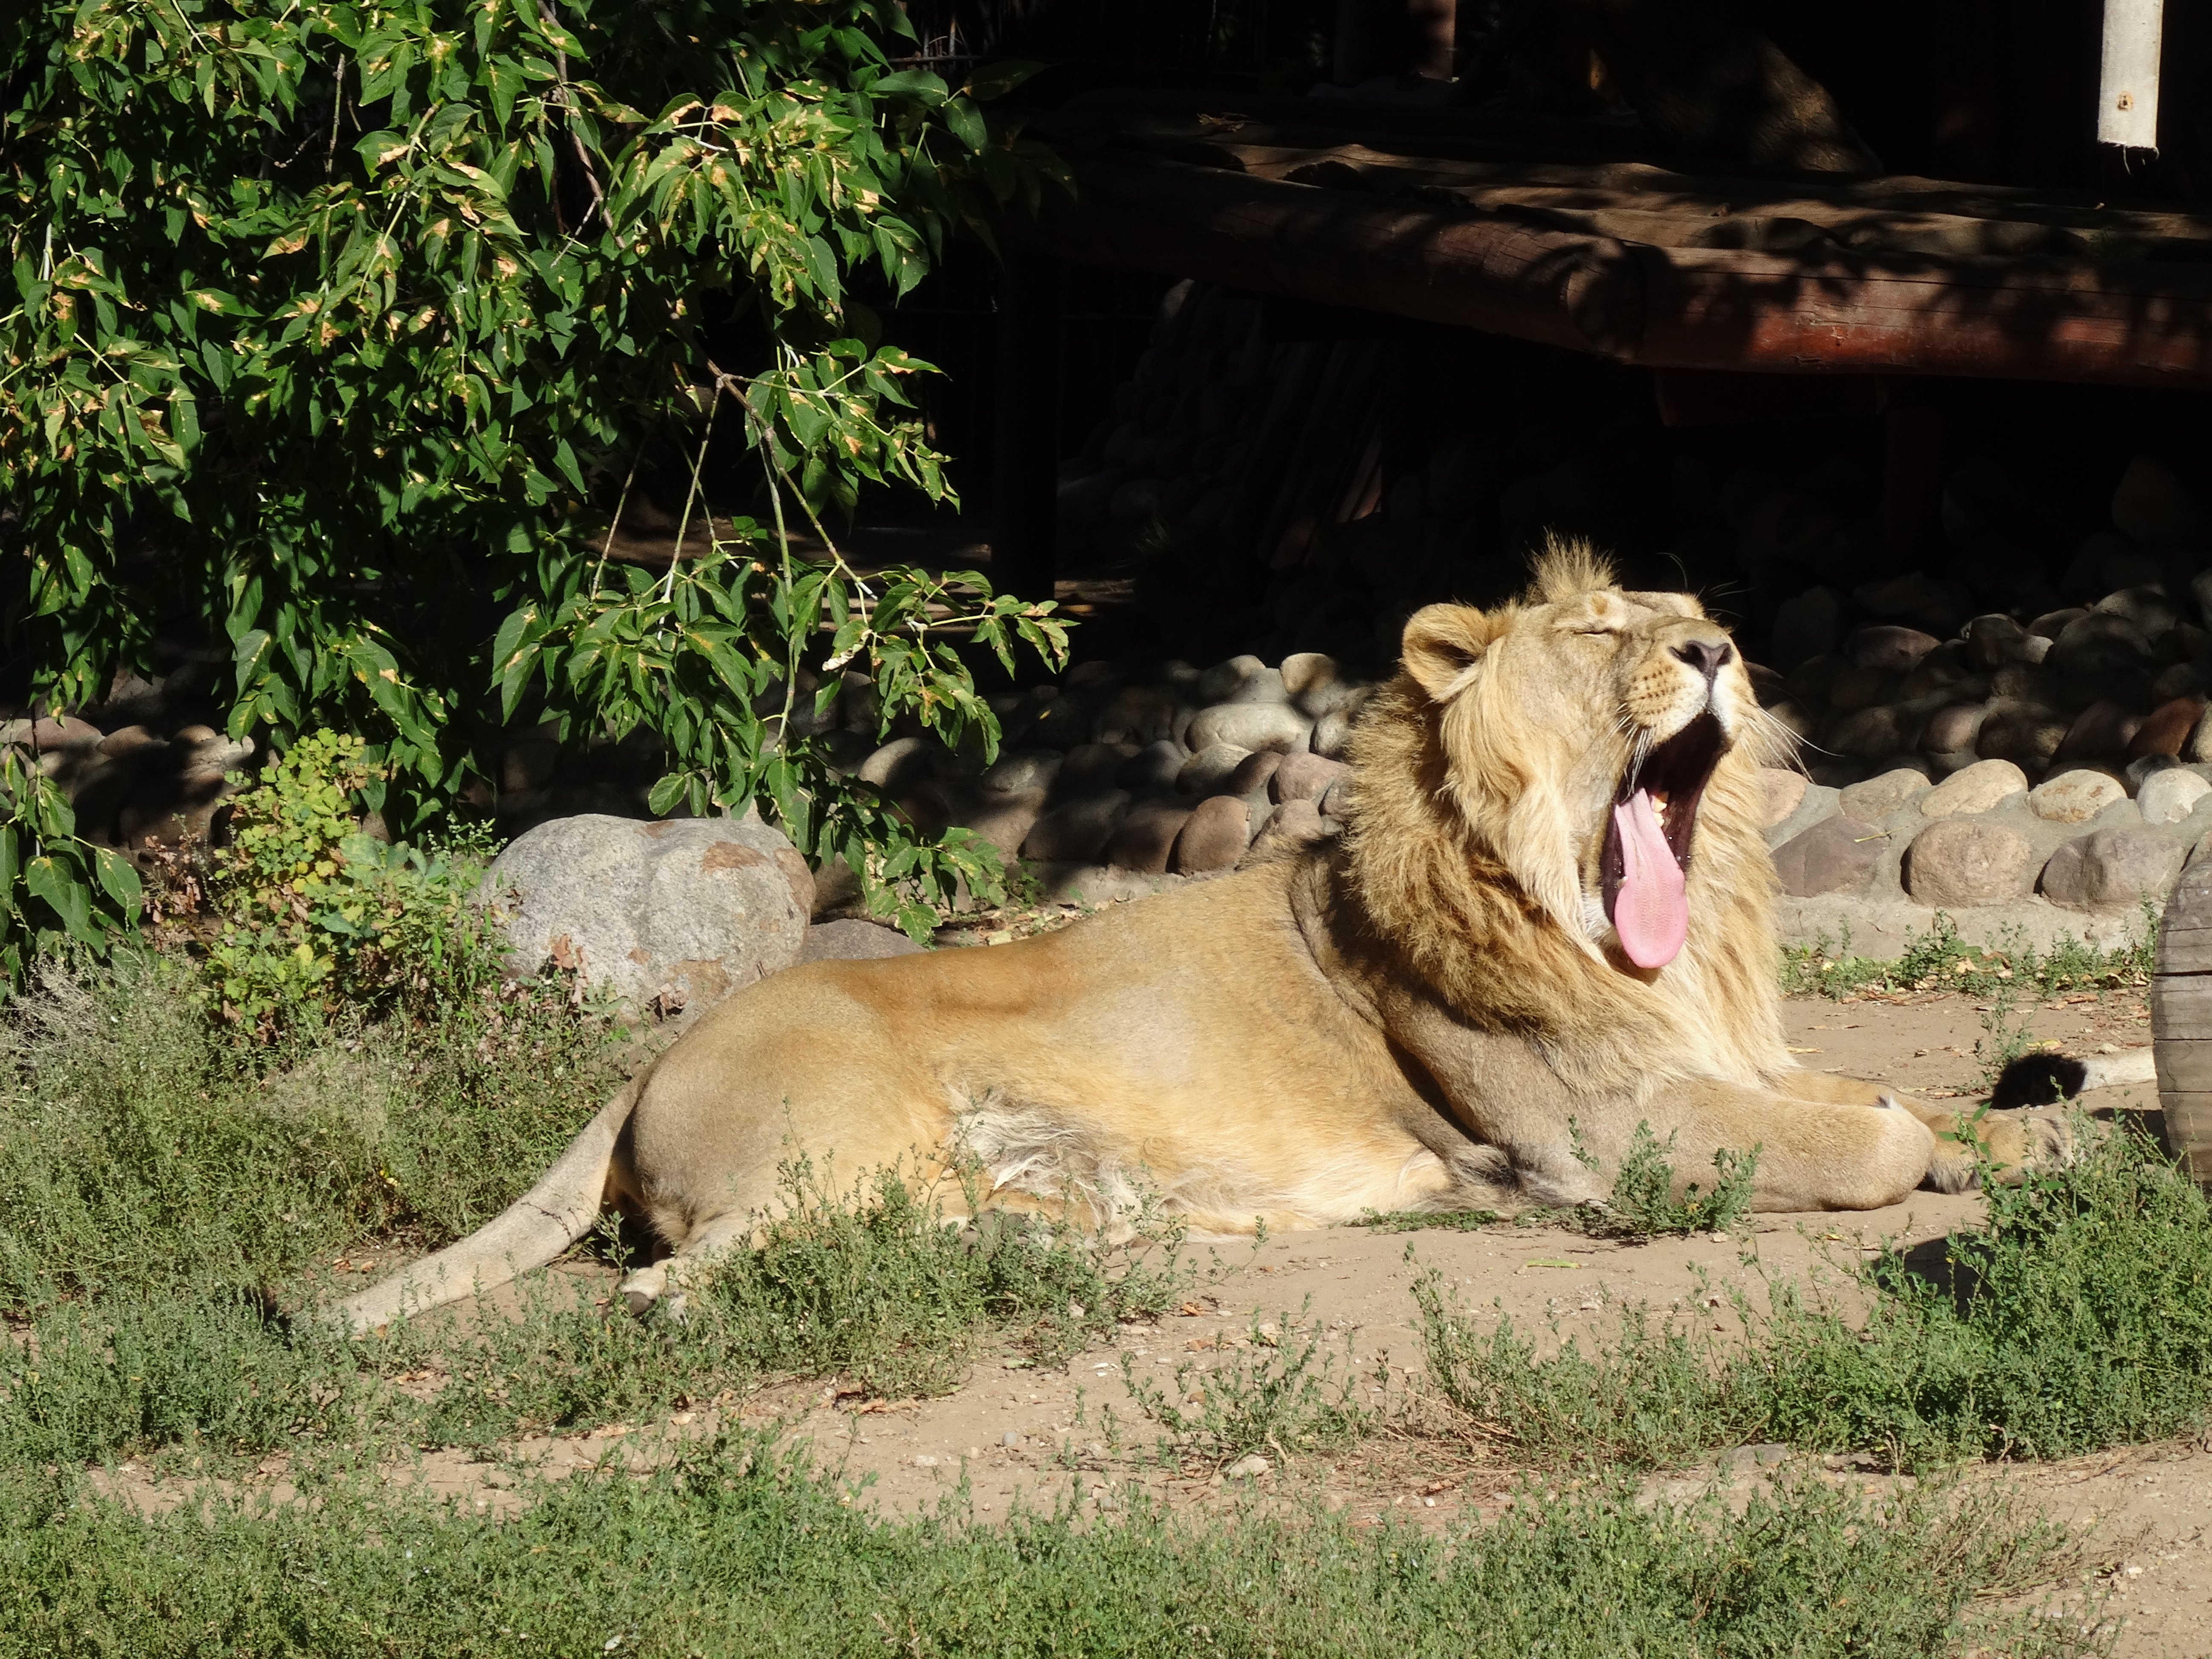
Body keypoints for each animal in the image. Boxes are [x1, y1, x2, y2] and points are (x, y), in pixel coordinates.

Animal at [336, 546, 2061, 1336]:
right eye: (1600, 630)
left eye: (1698, 614)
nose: (1716, 648)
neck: (1666, 940)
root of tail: (643, 1071)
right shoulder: (1605, 1138)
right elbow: (1872, 1140)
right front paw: (1943, 1152)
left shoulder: (1723, 1065)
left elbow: (1886, 1100)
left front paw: (2030, 1135)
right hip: (841, 1140)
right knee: (678, 1287)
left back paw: (1069, 1245)